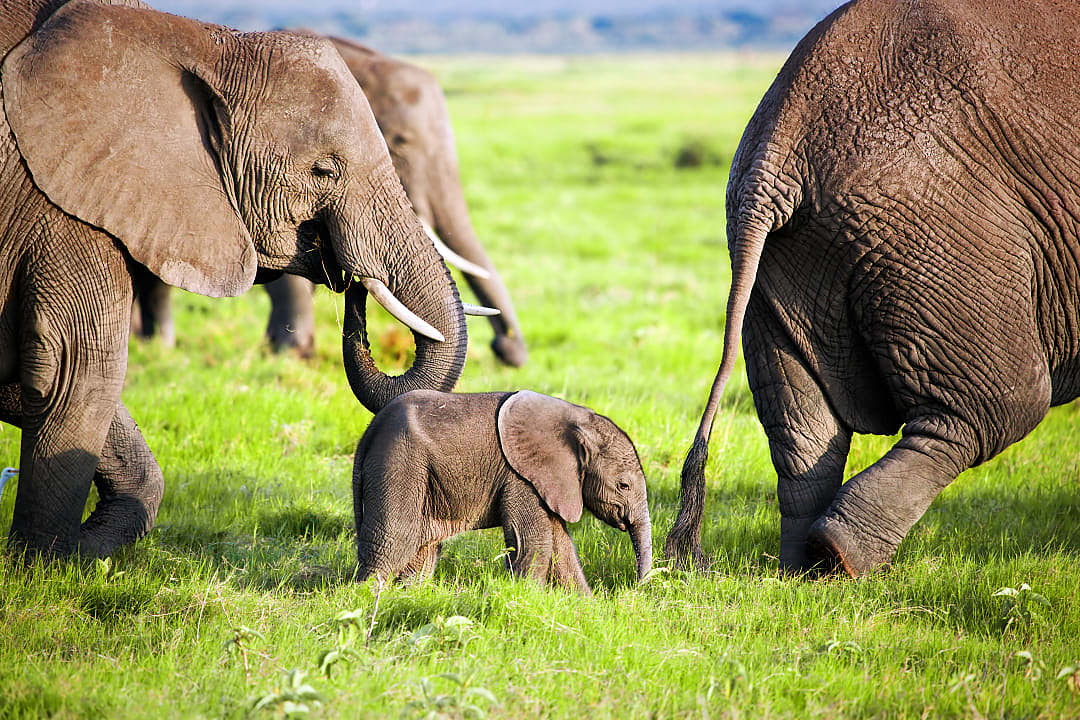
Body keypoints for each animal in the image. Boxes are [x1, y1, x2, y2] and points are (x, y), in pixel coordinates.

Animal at [0, 0, 471, 557]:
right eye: (323, 171)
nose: (353, 284)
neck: (199, 41)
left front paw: (82, 553)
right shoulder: (60, 201)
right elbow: (77, 368)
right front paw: (46, 566)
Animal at [352, 390, 652, 594]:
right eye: (623, 486)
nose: (634, 588)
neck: (577, 417)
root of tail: (370, 431)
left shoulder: (549, 481)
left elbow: (561, 546)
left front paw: (584, 607)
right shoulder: (521, 477)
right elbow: (534, 542)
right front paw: (528, 598)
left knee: (422, 548)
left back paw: (409, 595)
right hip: (399, 462)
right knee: (395, 539)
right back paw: (366, 597)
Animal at [664, 0, 1080, 577]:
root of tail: (778, 145)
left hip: (781, 260)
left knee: (803, 429)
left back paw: (803, 568)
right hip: (936, 232)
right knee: (995, 406)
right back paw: (841, 556)